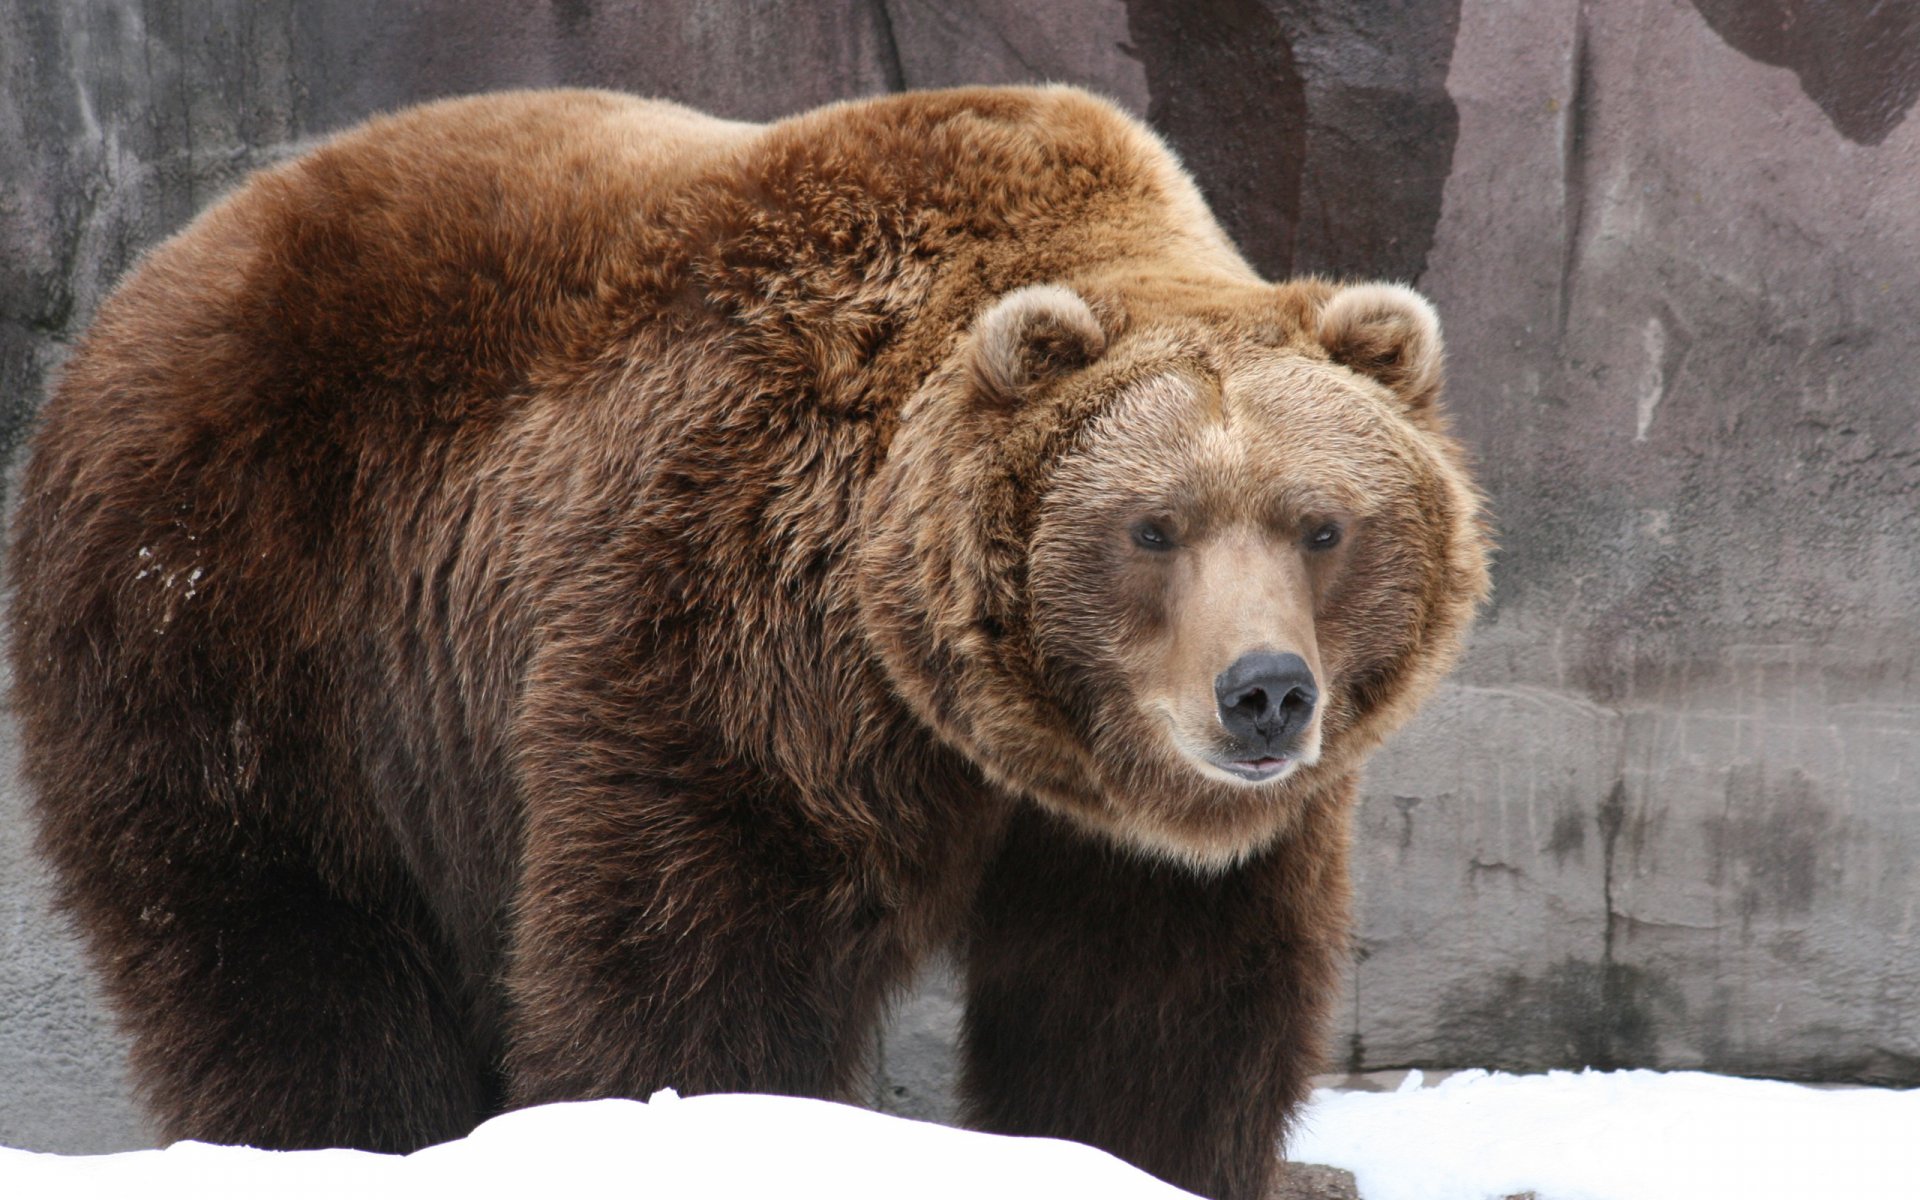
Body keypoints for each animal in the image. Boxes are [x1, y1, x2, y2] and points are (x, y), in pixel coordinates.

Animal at [7, 86, 1489, 1199]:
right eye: (1153, 526)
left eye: (1323, 524)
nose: (1264, 695)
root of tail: (155, 273)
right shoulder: (741, 618)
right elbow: (694, 948)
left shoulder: (1126, 839)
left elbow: (1154, 1008)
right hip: (241, 609)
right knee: (287, 941)